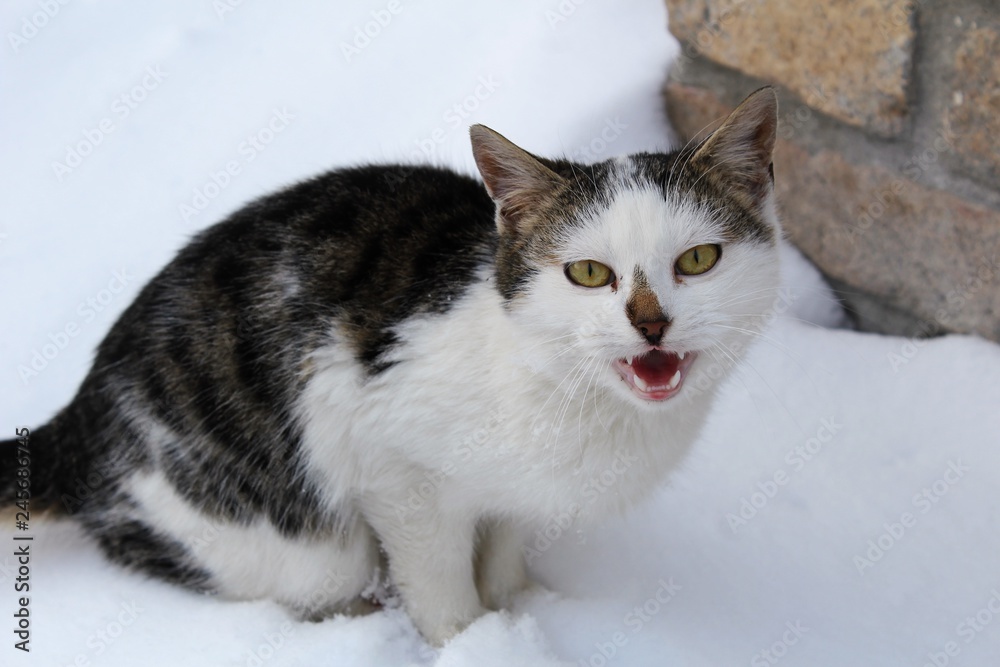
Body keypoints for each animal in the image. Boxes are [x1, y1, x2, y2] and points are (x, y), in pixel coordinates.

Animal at [1, 86, 780, 644]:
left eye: (698, 260)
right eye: (588, 273)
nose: (651, 322)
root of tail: (77, 417)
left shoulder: (510, 498)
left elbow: (501, 557)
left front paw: (517, 610)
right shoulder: (395, 470)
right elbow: (441, 590)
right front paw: (475, 643)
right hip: (284, 537)